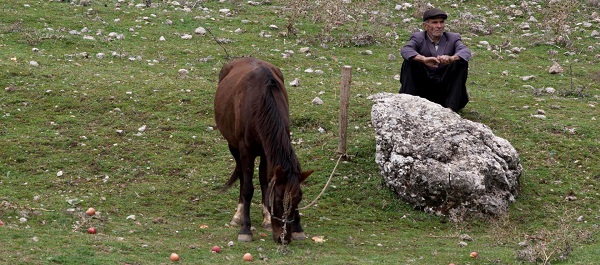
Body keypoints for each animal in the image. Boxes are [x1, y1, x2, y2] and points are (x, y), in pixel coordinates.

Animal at [213, 56, 314, 242]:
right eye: (279, 200)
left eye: (298, 199)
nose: (284, 238)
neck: (260, 104)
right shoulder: (246, 152)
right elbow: (248, 188)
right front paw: (245, 230)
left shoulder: (268, 153)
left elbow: (265, 182)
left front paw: (279, 222)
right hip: (234, 146)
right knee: (242, 175)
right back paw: (238, 216)